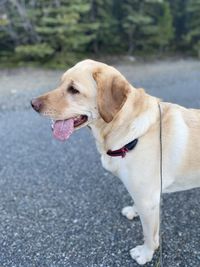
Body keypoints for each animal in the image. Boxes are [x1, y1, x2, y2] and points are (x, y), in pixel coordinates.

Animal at [30, 59, 200, 266]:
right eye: (60, 83)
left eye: (74, 90)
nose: (32, 104)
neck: (129, 132)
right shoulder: (146, 196)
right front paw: (134, 211)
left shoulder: (147, 200)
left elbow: (149, 235)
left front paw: (145, 254)